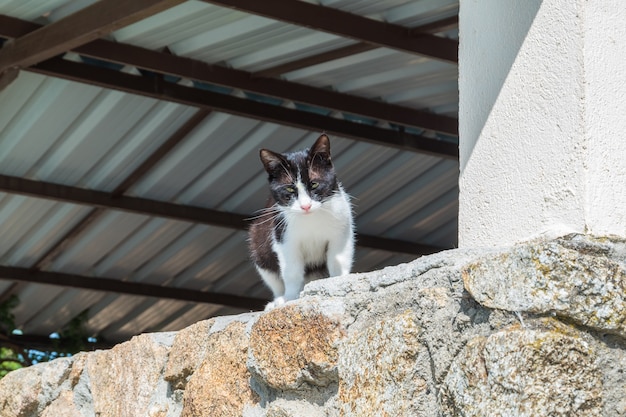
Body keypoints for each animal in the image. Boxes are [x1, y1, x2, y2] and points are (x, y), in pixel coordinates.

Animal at [249, 134, 356, 308]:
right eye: (290, 189)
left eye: (314, 184)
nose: (306, 206)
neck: (311, 219)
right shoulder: (284, 239)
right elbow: (291, 271)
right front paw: (290, 298)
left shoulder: (342, 230)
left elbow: (338, 259)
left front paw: (337, 282)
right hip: (257, 242)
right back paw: (277, 300)